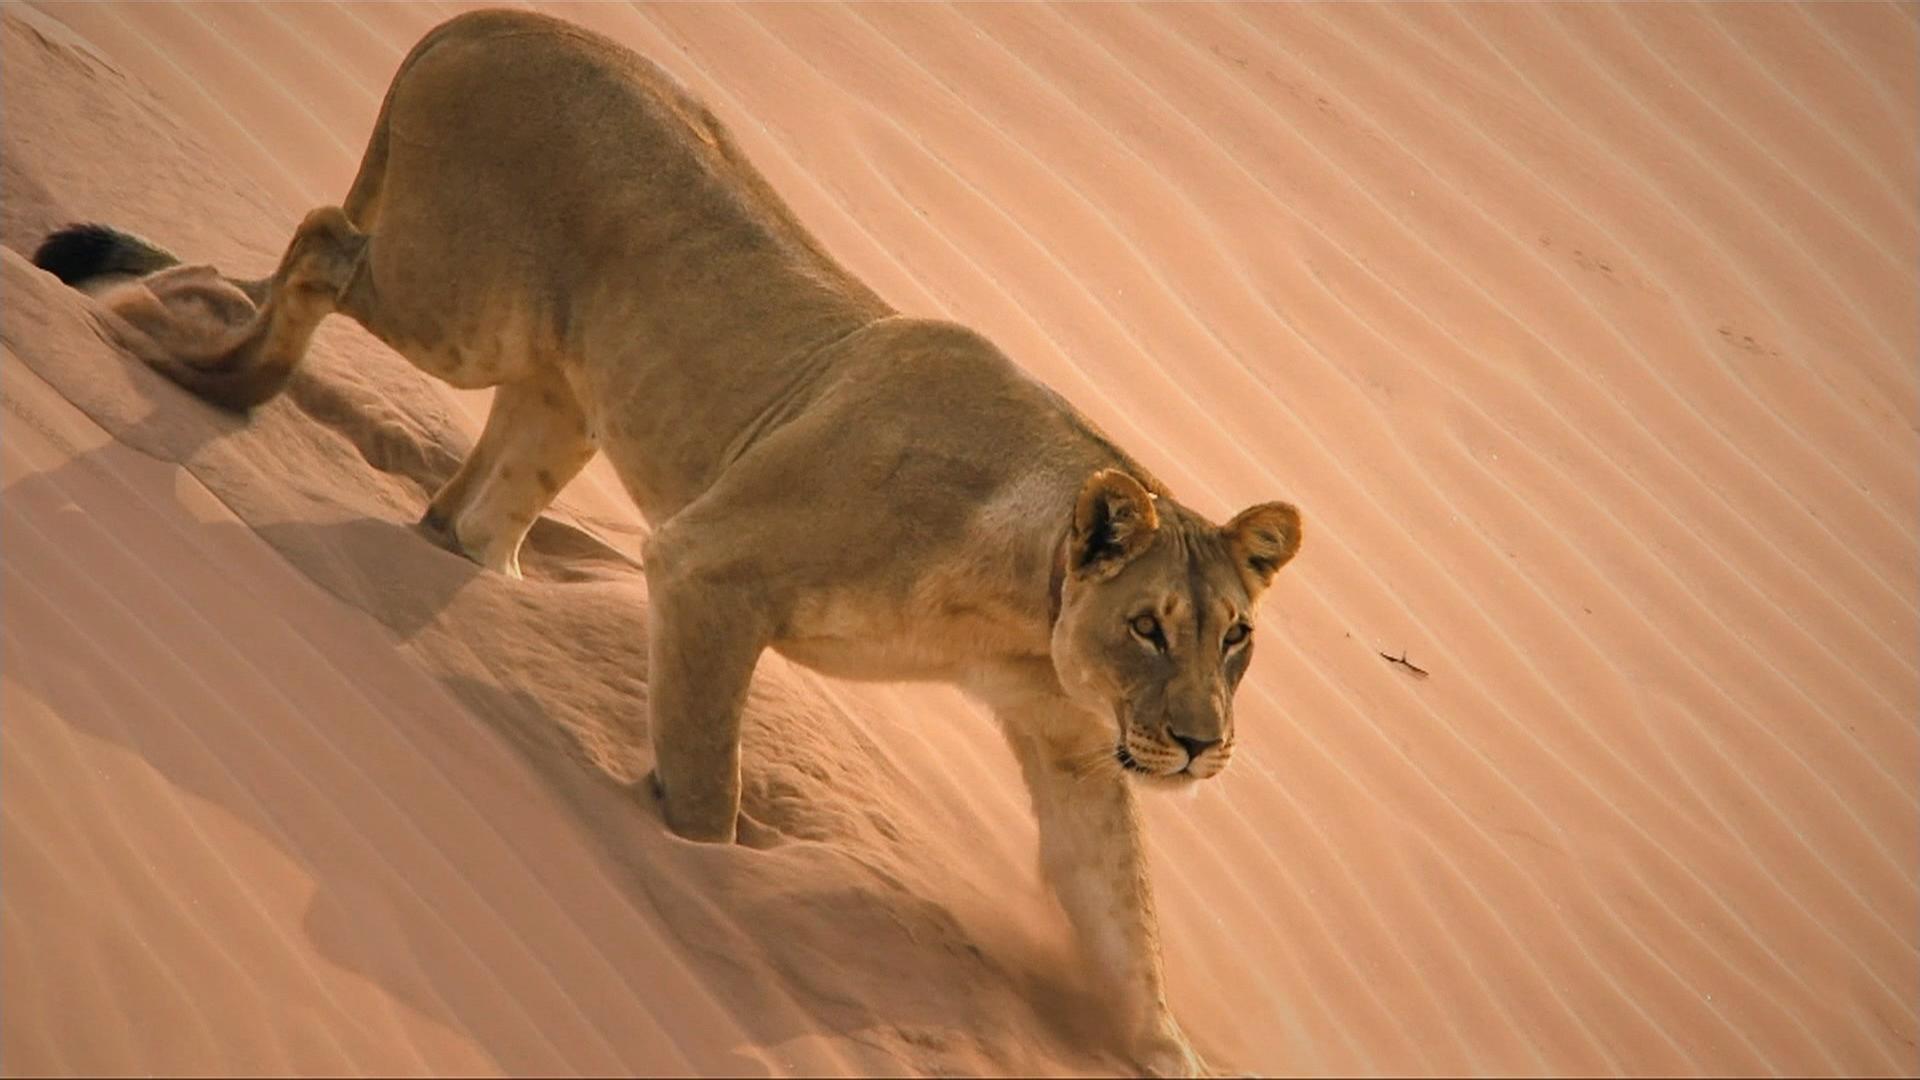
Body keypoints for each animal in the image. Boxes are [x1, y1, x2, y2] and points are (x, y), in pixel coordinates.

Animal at [32, 10, 1303, 1075]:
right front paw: (696, 873)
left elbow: (1122, 922)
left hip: (562, 400)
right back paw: (218, 371)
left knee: (463, 514)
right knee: (319, 242)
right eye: (1149, 627)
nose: (1202, 747)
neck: (1022, 613)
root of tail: (483, 22)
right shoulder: (709, 569)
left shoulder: (1077, 750)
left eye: (1234, 640)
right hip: (457, 304)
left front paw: (1165, 1052)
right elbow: (707, 786)